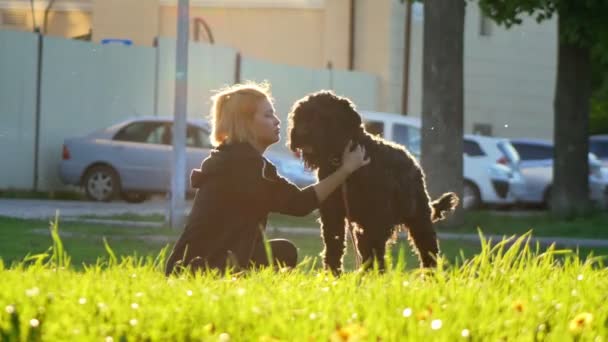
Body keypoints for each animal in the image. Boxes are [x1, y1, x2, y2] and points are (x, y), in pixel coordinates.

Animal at [288, 91, 458, 272]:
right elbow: (334, 244)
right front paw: (333, 273)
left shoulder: (376, 217)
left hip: (418, 218)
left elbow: (374, 248)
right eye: (301, 114)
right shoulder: (332, 213)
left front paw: (374, 273)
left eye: (322, 116)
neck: (341, 161)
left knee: (427, 248)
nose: (301, 132)